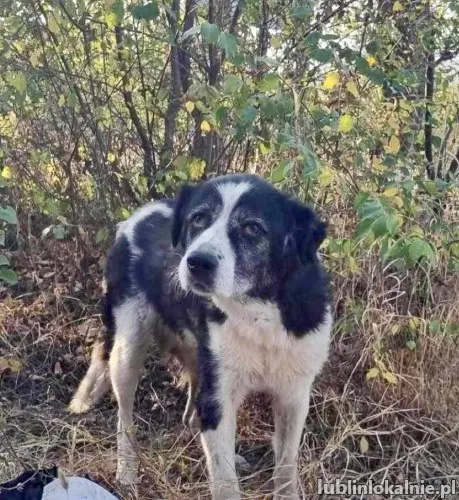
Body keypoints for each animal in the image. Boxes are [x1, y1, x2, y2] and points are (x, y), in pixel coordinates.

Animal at [68, 174, 332, 498]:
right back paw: (126, 470)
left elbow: (285, 467)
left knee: (191, 416)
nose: (197, 262)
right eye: (198, 219)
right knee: (124, 417)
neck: (258, 310)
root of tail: (133, 218)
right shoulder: (218, 396)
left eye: (252, 227)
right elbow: (225, 482)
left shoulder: (293, 397)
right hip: (127, 347)